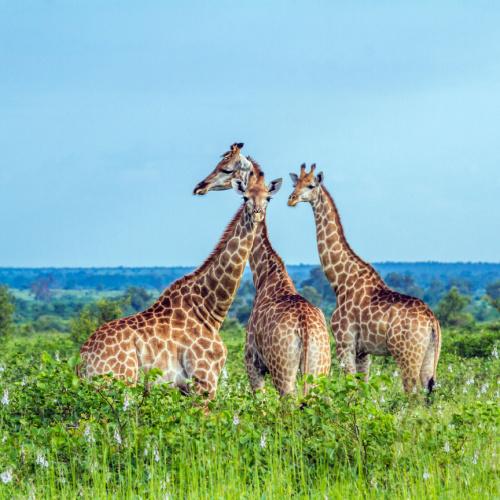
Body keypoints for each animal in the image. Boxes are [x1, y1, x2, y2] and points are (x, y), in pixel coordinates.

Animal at [78, 171, 282, 398]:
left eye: (268, 198)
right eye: (245, 198)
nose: (257, 214)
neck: (209, 310)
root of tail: (82, 361)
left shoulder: (187, 388)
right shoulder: (205, 381)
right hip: (117, 384)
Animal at [193, 146, 330, 396]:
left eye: (226, 168)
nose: (201, 186)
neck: (266, 275)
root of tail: (305, 329)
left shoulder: (252, 363)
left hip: (283, 373)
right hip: (320, 371)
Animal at [288, 165, 440, 394]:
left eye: (311, 185)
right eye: (295, 183)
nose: (292, 199)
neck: (340, 281)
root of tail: (432, 321)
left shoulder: (344, 343)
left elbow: (350, 387)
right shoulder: (363, 351)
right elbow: (362, 389)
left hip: (407, 356)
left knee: (413, 394)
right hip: (429, 356)